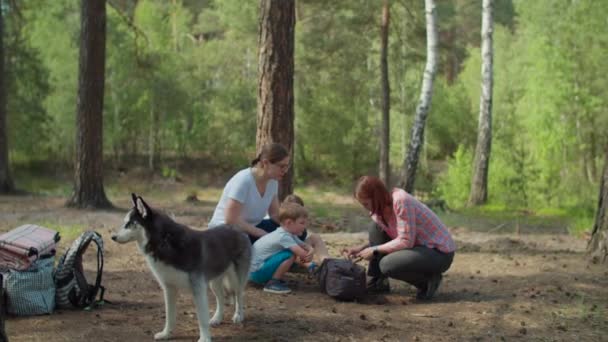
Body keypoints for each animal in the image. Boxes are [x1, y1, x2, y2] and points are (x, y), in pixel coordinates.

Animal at [110, 194, 251, 340]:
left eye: (129, 223)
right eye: (125, 222)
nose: (112, 237)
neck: (163, 241)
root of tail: (237, 230)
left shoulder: (198, 289)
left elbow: (201, 318)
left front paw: (204, 338)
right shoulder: (169, 289)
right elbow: (169, 316)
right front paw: (166, 334)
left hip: (236, 280)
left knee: (239, 295)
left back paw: (238, 315)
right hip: (214, 283)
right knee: (221, 298)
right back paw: (217, 318)